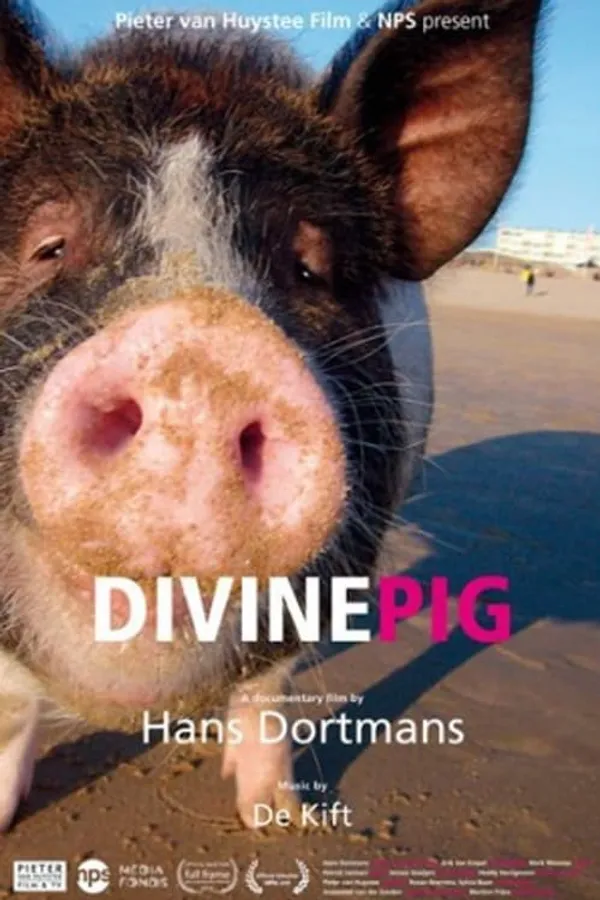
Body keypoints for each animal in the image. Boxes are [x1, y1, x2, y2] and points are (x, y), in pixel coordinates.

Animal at [0, 0, 543, 830]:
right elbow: (11, 705)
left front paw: (280, 824)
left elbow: (269, 685)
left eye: (310, 269)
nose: (197, 353)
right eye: (49, 246)